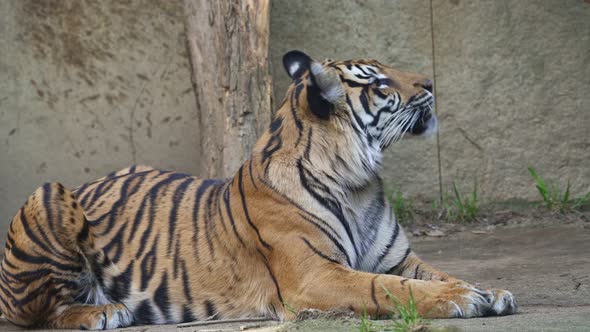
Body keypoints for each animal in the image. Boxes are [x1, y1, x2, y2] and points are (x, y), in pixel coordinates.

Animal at [0, 50, 520, 330]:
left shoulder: (399, 258)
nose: (431, 82)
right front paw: (463, 298)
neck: (359, 183)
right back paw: (101, 313)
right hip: (48, 194)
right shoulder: (315, 274)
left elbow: (430, 273)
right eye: (379, 82)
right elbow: (387, 287)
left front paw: (488, 290)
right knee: (34, 312)